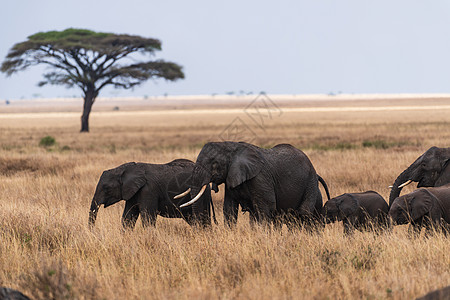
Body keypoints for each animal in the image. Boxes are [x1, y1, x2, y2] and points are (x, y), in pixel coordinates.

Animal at [176, 142, 330, 229]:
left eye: (214, 164)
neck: (232, 147)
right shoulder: (232, 177)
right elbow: (229, 208)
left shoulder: (260, 177)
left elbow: (266, 207)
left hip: (310, 183)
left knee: (304, 212)